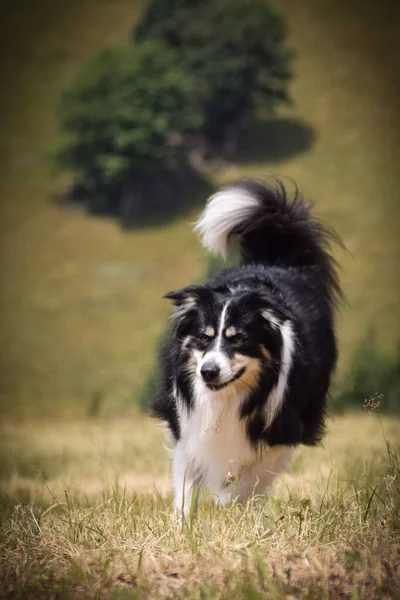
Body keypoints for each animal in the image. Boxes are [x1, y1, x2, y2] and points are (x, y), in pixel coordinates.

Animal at [153, 178, 340, 516]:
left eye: (239, 338)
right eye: (204, 337)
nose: (208, 372)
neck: (230, 397)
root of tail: (277, 260)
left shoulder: (283, 429)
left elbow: (248, 482)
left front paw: (232, 509)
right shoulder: (186, 425)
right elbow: (187, 482)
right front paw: (181, 523)